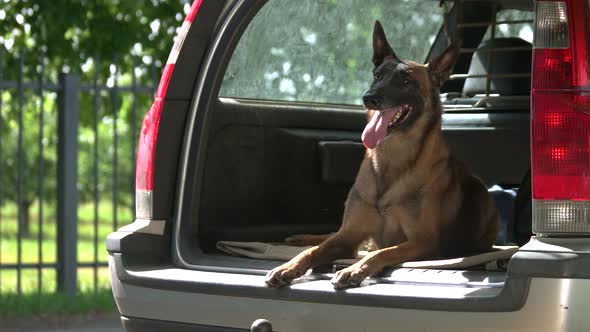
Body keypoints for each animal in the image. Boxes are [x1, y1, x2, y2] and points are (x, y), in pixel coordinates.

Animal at [266, 21, 502, 290]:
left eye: (406, 81)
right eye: (377, 75)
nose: (369, 98)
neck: (391, 157)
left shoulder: (422, 241)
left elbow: (382, 252)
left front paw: (353, 270)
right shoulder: (348, 235)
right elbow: (315, 250)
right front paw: (288, 266)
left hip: (481, 195)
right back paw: (299, 238)